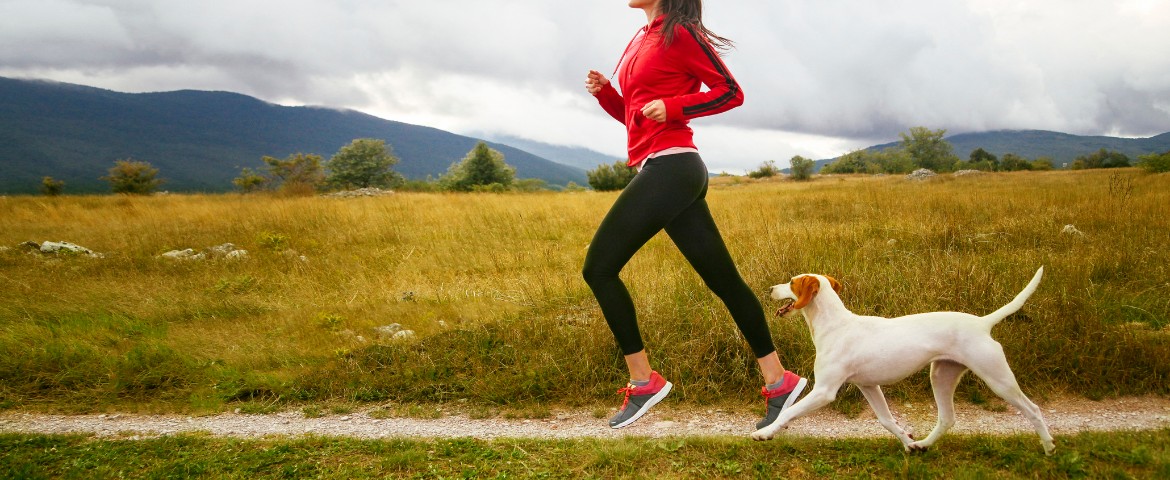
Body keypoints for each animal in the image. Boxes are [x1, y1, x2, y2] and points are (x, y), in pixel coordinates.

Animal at [753, 268, 1057, 456]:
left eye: (792, 282)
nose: (769, 288)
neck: (836, 325)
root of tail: (983, 323)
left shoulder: (824, 391)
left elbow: (789, 411)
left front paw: (766, 433)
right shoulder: (869, 387)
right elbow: (887, 420)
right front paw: (907, 443)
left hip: (998, 379)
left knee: (1033, 409)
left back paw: (1049, 447)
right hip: (941, 375)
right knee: (947, 418)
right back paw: (923, 445)